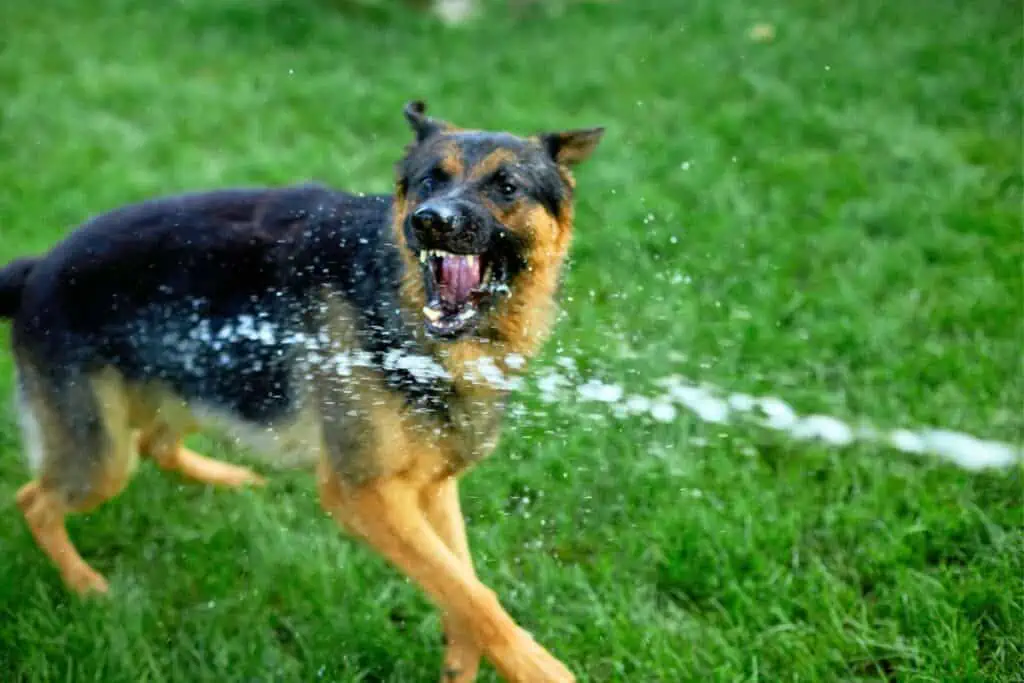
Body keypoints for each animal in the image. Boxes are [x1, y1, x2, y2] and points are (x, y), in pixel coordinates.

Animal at [0, 101, 602, 683]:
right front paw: (539, 669)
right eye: (431, 180)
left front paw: (463, 661)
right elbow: (469, 592)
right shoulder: (363, 491)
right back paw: (85, 584)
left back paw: (229, 478)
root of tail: (34, 268)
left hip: (195, 376)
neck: (392, 296)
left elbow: (463, 581)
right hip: (102, 457)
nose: (431, 222)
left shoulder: (429, 484)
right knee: (35, 501)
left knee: (156, 443)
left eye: (507, 186)